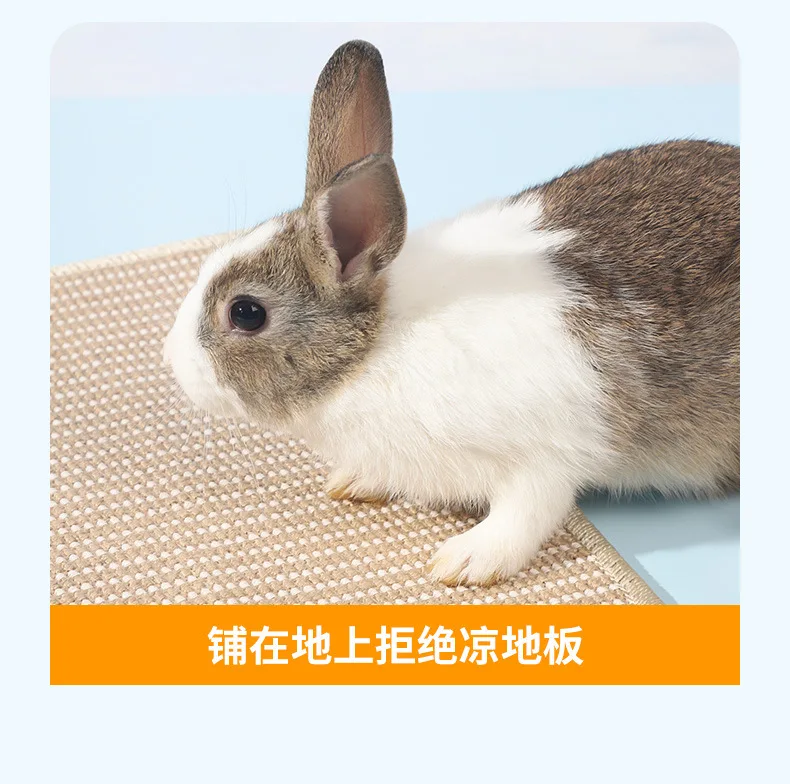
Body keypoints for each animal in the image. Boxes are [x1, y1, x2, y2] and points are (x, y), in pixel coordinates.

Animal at [163, 40, 739, 587]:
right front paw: (356, 481)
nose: (171, 358)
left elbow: (527, 513)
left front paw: (465, 563)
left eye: (246, 312)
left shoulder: (549, 452)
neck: (374, 350)